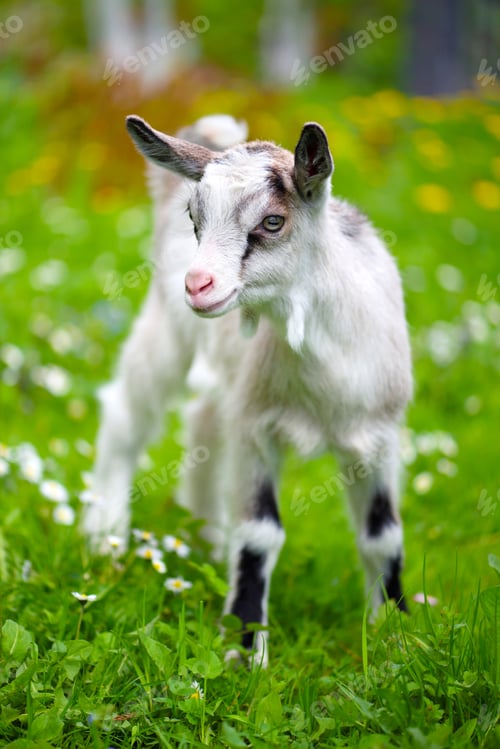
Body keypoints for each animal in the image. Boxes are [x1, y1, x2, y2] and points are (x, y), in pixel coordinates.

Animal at [84, 114, 413, 665]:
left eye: (273, 221)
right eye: (194, 216)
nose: (198, 284)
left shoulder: (379, 434)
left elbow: (382, 537)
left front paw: (396, 637)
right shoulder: (258, 431)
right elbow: (260, 534)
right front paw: (244, 649)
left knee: (203, 421)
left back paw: (208, 538)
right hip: (166, 331)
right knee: (127, 413)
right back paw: (105, 534)